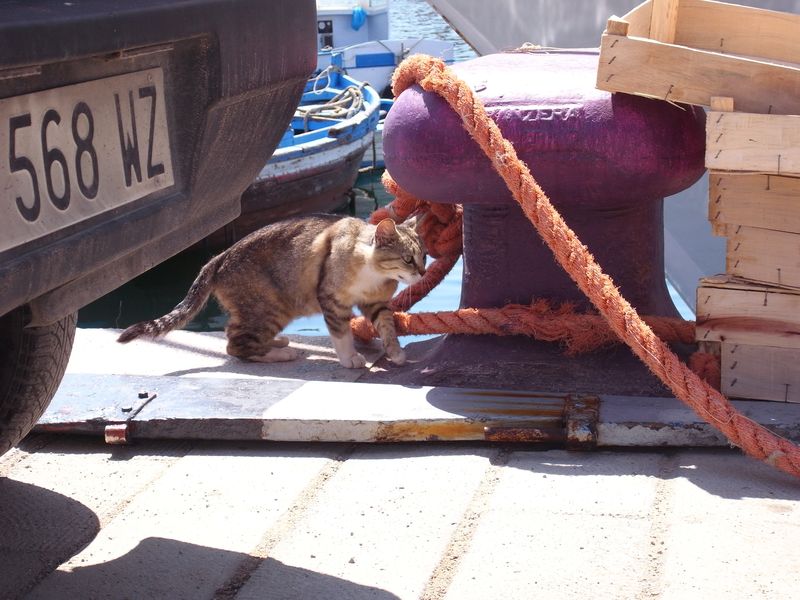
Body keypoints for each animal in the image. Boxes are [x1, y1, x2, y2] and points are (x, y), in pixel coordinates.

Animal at [117, 213, 424, 368]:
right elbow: (342, 334)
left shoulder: (377, 304)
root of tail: (218, 258)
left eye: (424, 257)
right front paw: (350, 359)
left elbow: (387, 327)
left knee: (233, 334)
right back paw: (279, 354)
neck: (373, 272)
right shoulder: (332, 300)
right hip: (271, 308)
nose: (421, 272)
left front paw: (396, 352)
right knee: (234, 344)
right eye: (408, 259)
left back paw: (276, 344)